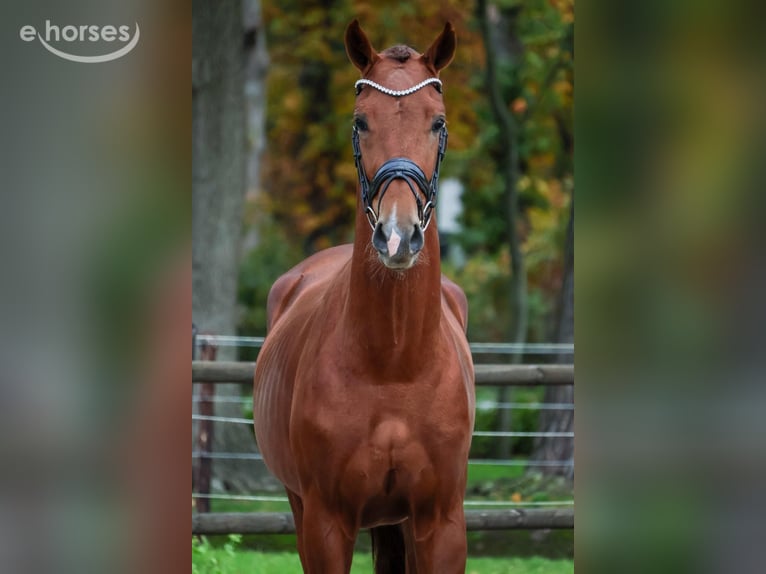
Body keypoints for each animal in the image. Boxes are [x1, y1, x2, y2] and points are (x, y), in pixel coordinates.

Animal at [253, 20, 475, 573]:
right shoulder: (326, 523)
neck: (393, 364)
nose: (397, 237)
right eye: (361, 122)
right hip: (302, 506)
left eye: (438, 122)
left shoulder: (442, 523)